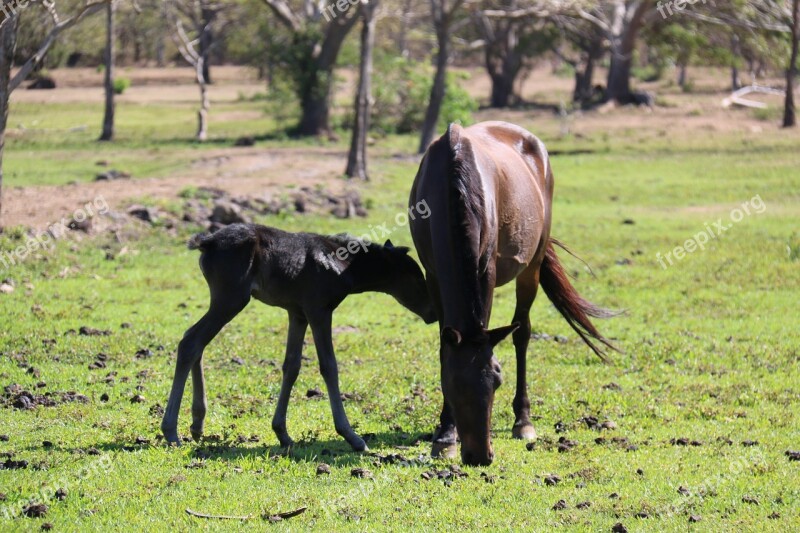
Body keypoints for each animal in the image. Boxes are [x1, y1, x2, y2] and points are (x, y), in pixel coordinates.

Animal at [162, 222, 434, 450]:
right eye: (415, 276)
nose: (433, 312)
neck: (341, 263)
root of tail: (207, 241)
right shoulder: (318, 310)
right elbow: (329, 366)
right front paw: (352, 437)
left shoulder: (297, 313)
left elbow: (292, 366)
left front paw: (282, 433)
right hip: (231, 298)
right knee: (191, 342)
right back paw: (171, 431)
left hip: (225, 300)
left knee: (196, 341)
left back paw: (197, 424)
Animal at [410, 121, 616, 466]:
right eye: (450, 383)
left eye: (497, 379)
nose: (480, 456)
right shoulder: (432, 274)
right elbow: (443, 348)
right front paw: (445, 436)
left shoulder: (487, 270)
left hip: (532, 264)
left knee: (523, 333)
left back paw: (524, 422)